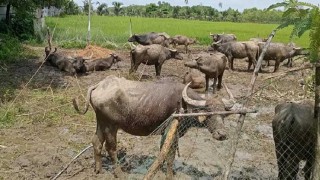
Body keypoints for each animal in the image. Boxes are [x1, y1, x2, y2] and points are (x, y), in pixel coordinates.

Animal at [72, 75, 228, 179]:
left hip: (101, 122)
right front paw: (170, 175)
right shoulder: (173, 131)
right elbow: (170, 155)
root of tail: (99, 85)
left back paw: (98, 170)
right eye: (209, 113)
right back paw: (119, 173)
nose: (222, 134)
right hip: (110, 125)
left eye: (224, 114)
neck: (185, 105)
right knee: (111, 148)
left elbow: (162, 151)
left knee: (96, 142)